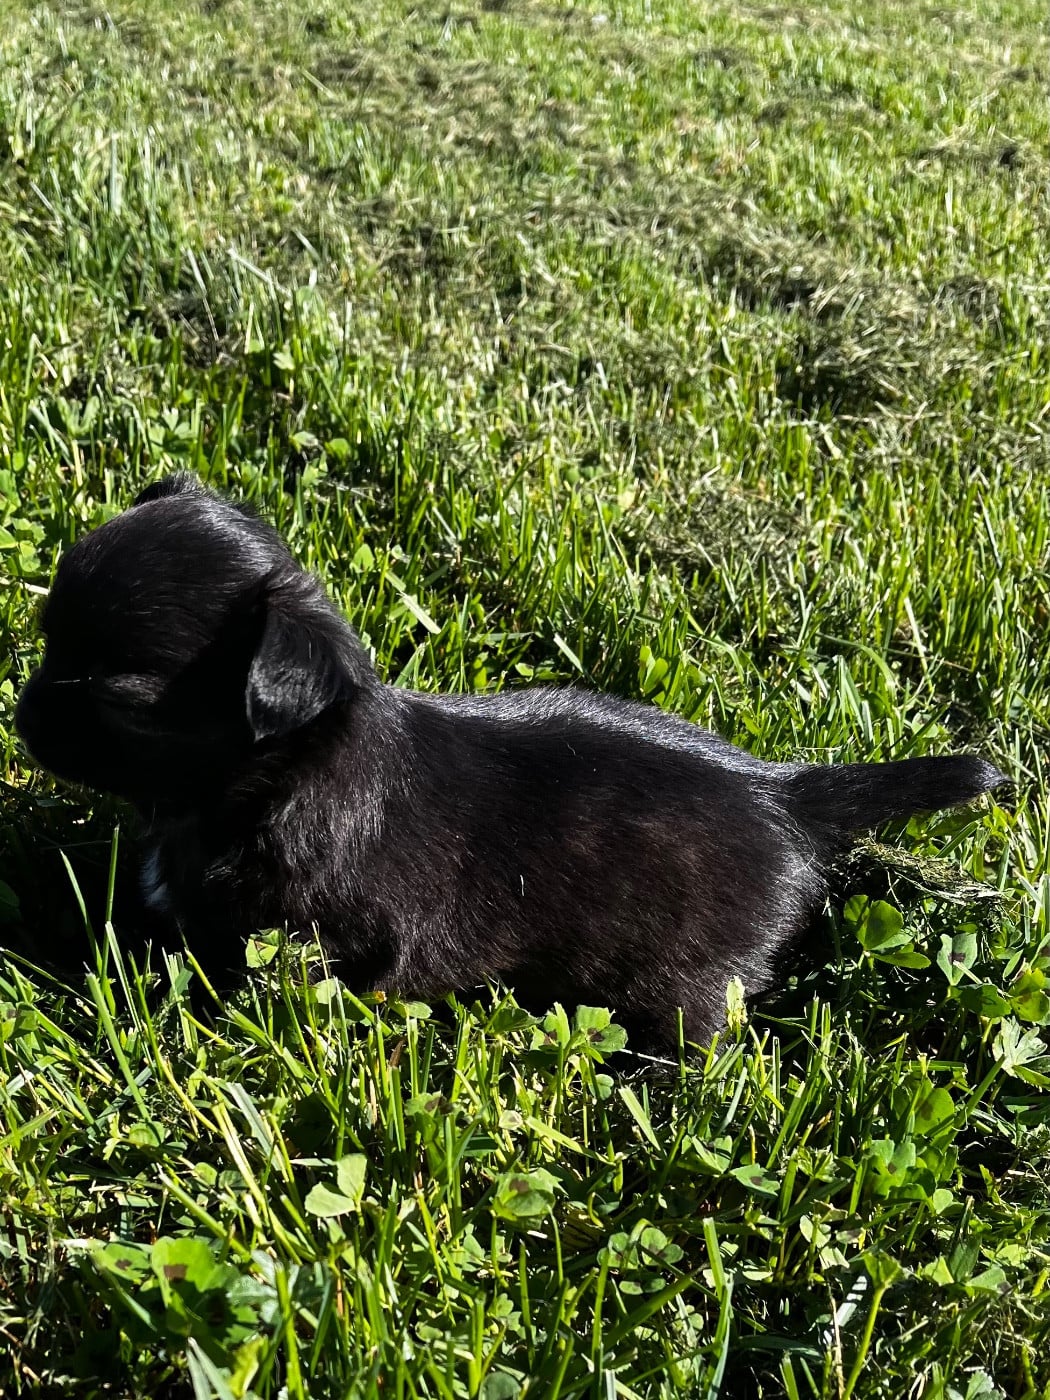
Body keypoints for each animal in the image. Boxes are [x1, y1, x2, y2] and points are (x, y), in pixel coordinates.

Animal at [15, 473, 1005, 1047]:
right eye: (48, 635)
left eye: (113, 691)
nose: (22, 715)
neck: (285, 769)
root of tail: (787, 791)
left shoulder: (316, 940)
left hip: (684, 979)